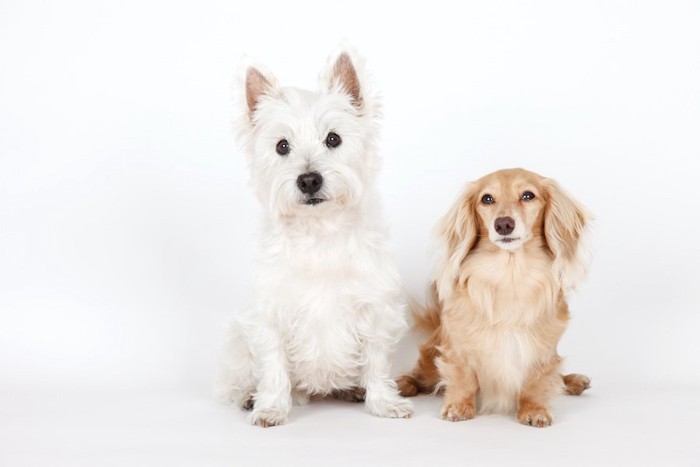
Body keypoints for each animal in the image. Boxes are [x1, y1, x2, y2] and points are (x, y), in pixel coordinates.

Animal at [219, 46, 412, 428]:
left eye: (333, 139)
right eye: (282, 146)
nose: (309, 180)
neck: (320, 232)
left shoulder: (374, 310)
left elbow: (376, 361)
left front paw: (384, 403)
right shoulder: (270, 316)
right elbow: (273, 367)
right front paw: (270, 408)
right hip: (238, 340)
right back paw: (250, 397)